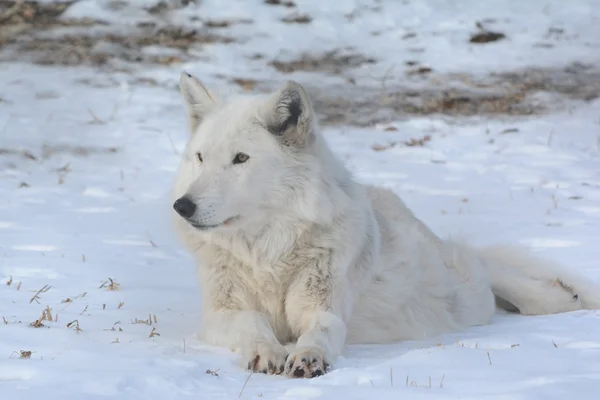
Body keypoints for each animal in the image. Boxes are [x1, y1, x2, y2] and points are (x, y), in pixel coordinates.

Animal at [170, 71, 600, 378]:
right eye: (201, 157)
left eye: (241, 159)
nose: (182, 206)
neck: (267, 251)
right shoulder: (221, 315)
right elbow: (253, 324)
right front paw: (266, 351)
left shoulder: (324, 307)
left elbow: (321, 331)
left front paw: (308, 356)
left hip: (465, 293)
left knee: (496, 274)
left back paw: (564, 298)